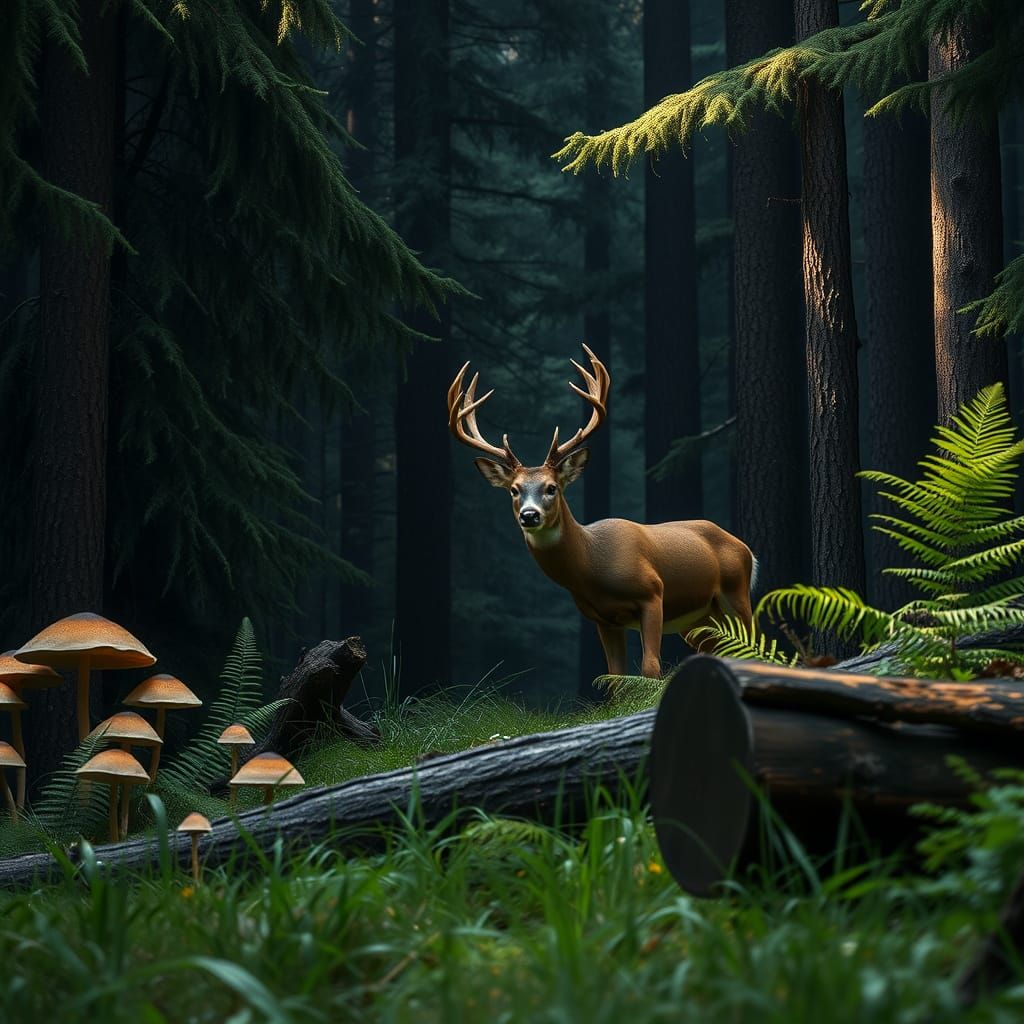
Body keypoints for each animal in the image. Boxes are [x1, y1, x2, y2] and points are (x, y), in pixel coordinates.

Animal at [447, 345, 758, 680]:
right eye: (514, 490)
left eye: (551, 487)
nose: (529, 515)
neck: (593, 564)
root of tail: (746, 549)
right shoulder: (603, 618)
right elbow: (614, 677)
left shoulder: (653, 593)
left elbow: (650, 667)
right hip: (698, 620)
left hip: (736, 594)